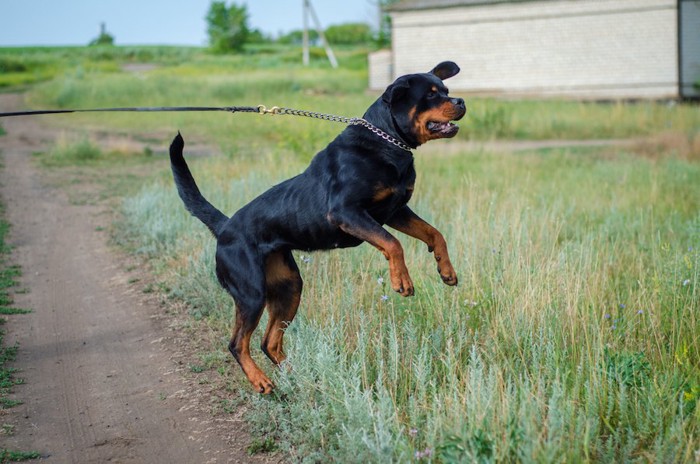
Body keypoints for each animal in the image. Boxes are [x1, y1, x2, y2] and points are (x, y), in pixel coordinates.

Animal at [169, 59, 464, 394]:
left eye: (446, 90)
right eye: (430, 95)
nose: (461, 102)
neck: (386, 142)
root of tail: (225, 227)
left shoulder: (394, 212)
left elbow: (434, 233)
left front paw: (446, 269)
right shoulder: (347, 212)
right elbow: (393, 244)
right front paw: (401, 280)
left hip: (289, 286)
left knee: (269, 342)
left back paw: (302, 376)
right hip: (251, 292)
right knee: (237, 342)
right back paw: (261, 381)